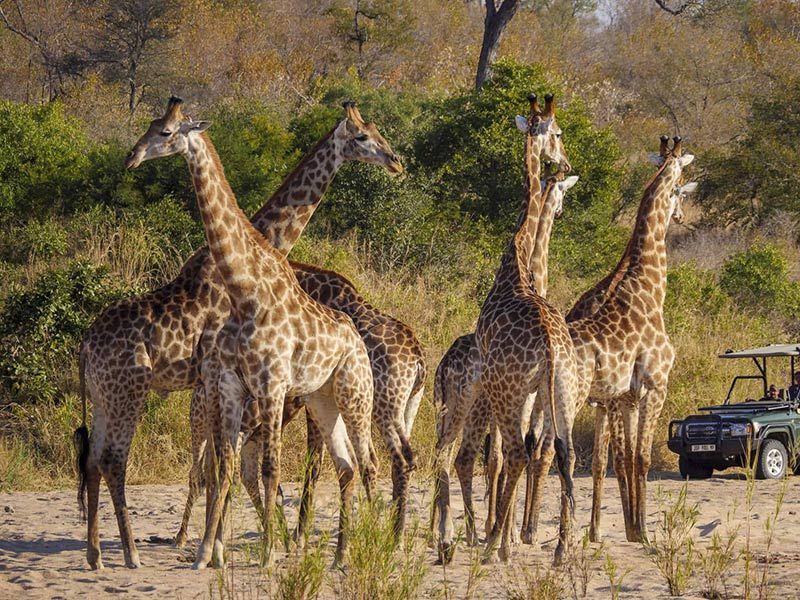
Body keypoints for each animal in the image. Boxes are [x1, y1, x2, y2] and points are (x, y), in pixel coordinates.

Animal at [72, 100, 400, 570]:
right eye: (361, 137)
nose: (395, 161)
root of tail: (84, 345)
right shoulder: (213, 380)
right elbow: (220, 468)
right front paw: (216, 548)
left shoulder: (218, 384)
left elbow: (221, 469)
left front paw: (220, 548)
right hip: (126, 391)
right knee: (112, 461)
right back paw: (129, 552)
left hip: (106, 396)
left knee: (95, 461)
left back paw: (100, 553)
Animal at [176, 262, 426, 546]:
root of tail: (419, 360)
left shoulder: (307, 399)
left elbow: (312, 464)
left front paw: (298, 534)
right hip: (407, 407)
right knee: (405, 458)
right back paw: (396, 533)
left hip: (385, 405)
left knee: (399, 459)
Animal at [430, 169, 579, 562]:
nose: (560, 212)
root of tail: (441, 365)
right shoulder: (522, 401)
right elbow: (514, 456)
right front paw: (509, 534)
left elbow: (521, 455)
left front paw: (510, 533)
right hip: (476, 403)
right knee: (464, 455)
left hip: (474, 404)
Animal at [565, 136, 695, 544]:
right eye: (680, 185)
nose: (679, 216)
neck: (649, 288)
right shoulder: (655, 386)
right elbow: (641, 457)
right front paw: (643, 533)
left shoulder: (624, 397)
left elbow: (621, 458)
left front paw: (631, 528)